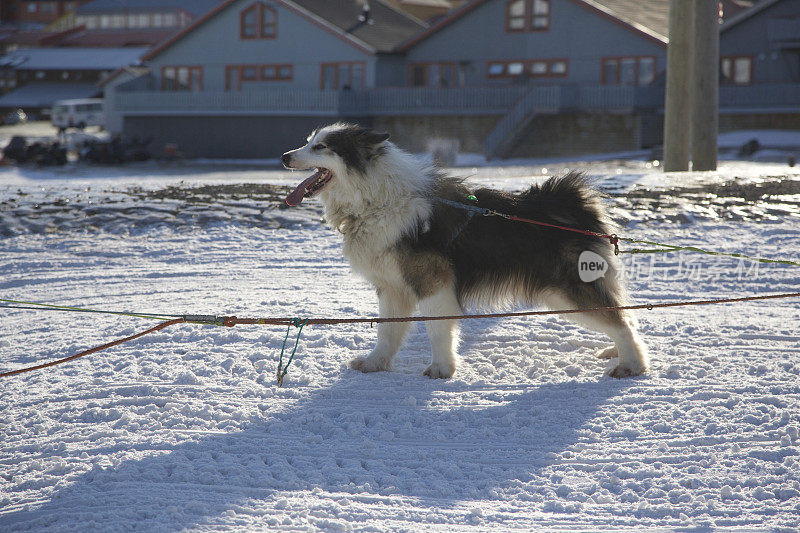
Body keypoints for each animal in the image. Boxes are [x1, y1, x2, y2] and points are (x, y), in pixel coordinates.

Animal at [284, 122, 648, 376]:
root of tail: (568, 201)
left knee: (621, 321)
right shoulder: (392, 287)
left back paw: (631, 364)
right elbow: (388, 331)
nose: (285, 156)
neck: (377, 200)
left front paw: (442, 368)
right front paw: (376, 362)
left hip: (567, 291)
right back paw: (617, 353)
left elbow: (437, 329)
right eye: (308, 141)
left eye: (320, 146)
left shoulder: (433, 283)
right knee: (623, 317)